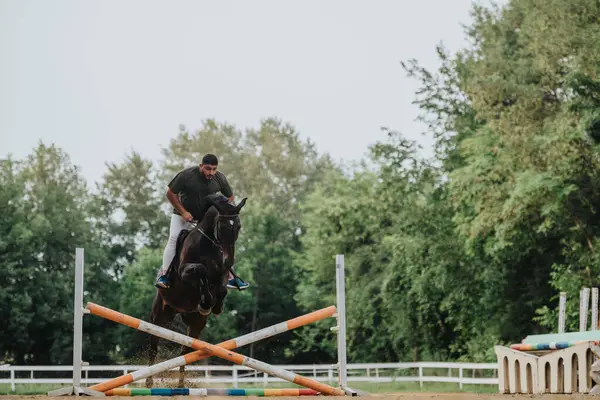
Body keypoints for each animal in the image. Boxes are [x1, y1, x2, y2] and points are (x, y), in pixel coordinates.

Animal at [146, 194, 247, 388]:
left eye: (238, 226)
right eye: (222, 227)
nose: (229, 261)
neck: (209, 244)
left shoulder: (222, 274)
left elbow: (221, 288)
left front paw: (216, 307)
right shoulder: (184, 271)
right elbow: (201, 271)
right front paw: (206, 303)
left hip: (195, 324)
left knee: (185, 352)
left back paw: (180, 385)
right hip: (159, 315)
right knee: (153, 346)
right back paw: (149, 381)